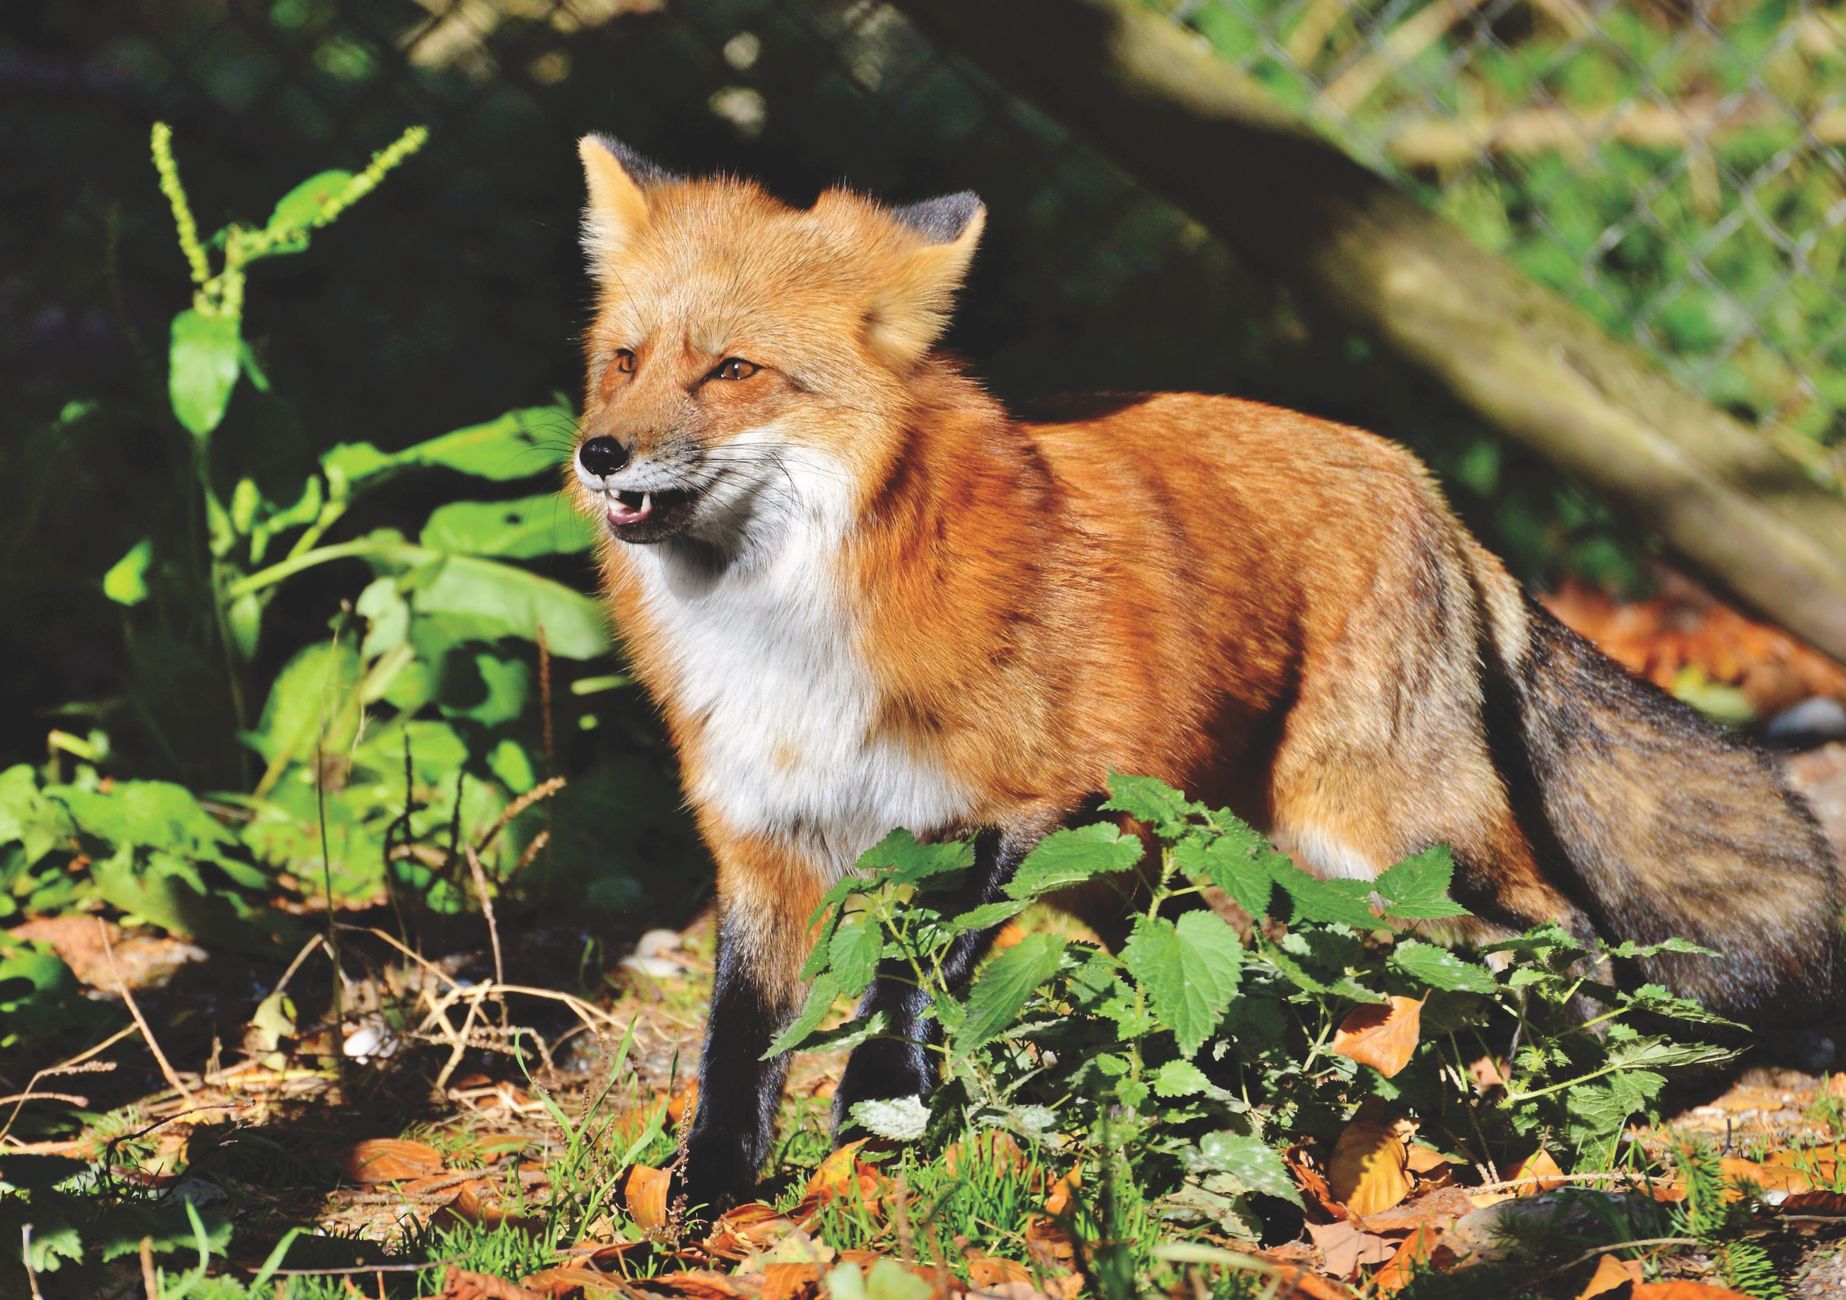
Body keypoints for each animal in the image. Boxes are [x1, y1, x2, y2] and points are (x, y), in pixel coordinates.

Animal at [565, 134, 1840, 1212]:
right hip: (1162, 864)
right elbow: (737, 1048)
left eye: (734, 369)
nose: (598, 452)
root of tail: (1422, 481)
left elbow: (905, 992)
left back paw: (1557, 1094)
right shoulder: (763, 840)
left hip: (1380, 830)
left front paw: (877, 1130)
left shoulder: (1008, 807)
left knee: (1559, 928)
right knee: (1268, 978)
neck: (790, 625)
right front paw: (703, 1202)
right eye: (624, 360)